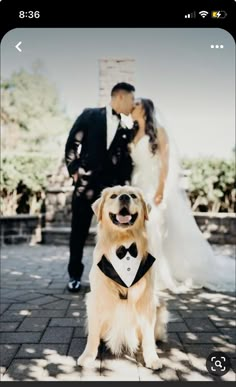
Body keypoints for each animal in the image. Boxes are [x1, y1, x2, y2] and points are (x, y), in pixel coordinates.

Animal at [78, 186, 168, 372]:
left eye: (133, 195)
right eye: (113, 196)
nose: (125, 197)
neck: (123, 242)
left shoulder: (147, 299)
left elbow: (148, 336)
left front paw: (152, 358)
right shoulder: (96, 298)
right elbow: (93, 334)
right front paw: (88, 355)